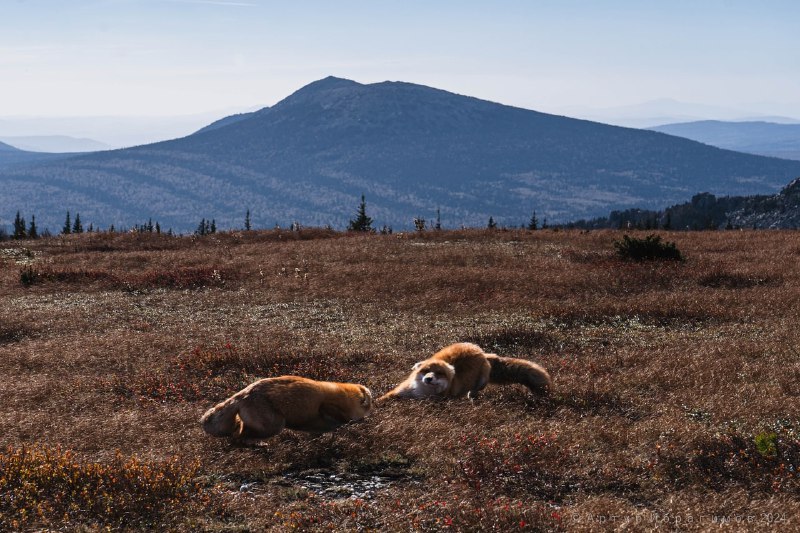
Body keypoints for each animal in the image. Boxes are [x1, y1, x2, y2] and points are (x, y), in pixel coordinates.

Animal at [380, 342, 552, 402]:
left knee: (474, 391)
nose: (428, 379)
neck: (422, 392)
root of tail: (481, 351)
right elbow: (383, 399)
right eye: (426, 371)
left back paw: (470, 397)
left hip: (482, 381)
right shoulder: (401, 391)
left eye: (439, 374)